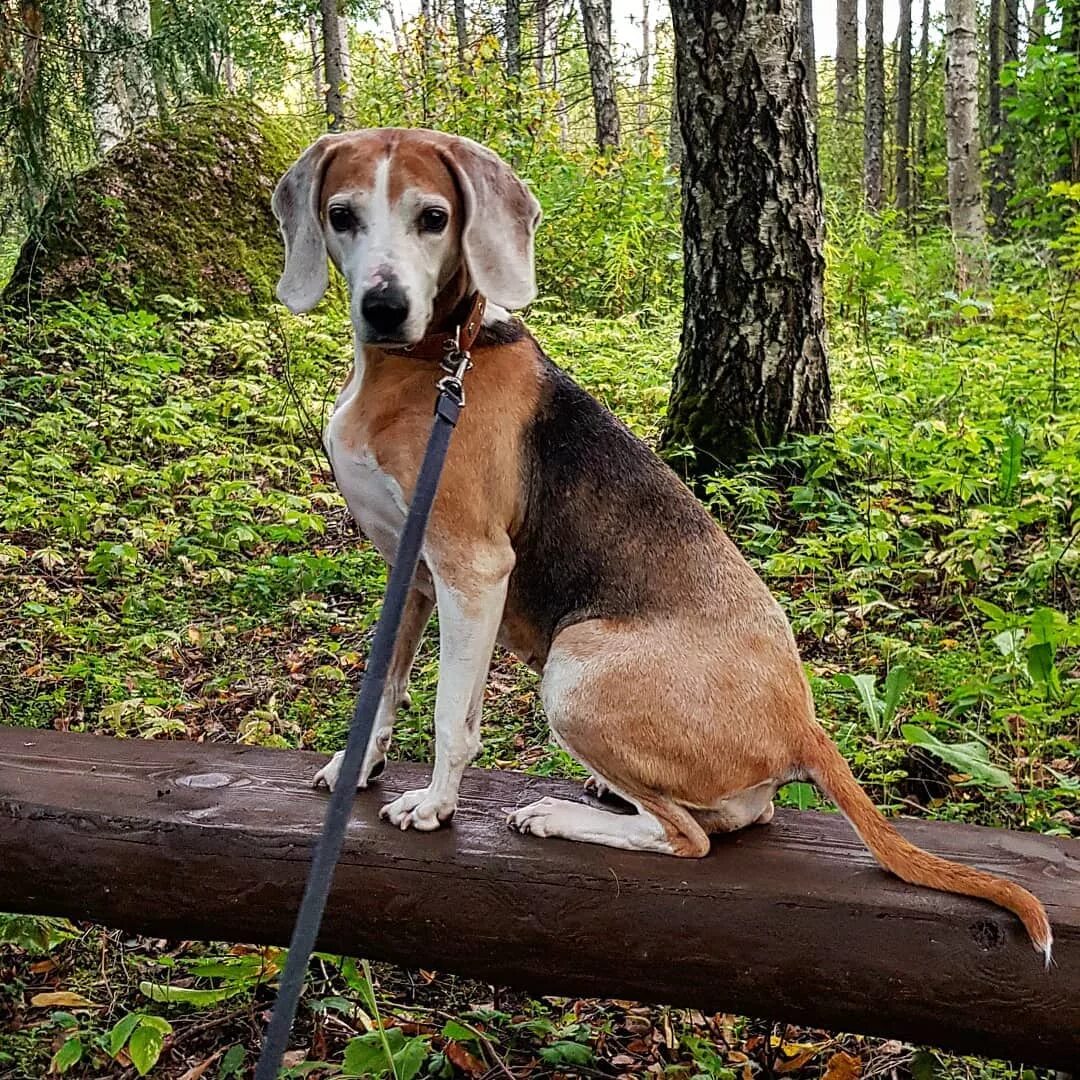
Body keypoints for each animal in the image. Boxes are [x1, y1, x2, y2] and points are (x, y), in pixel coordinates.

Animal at [272, 126, 1054, 963]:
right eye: (342, 215)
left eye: (434, 218)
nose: (384, 308)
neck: (427, 360)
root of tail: (802, 721)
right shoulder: (410, 573)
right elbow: (383, 688)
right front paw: (357, 766)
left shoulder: (471, 569)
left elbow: (454, 717)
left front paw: (434, 804)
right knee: (737, 816)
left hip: (577, 666)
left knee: (686, 838)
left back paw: (558, 815)